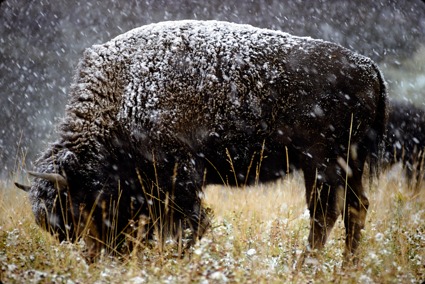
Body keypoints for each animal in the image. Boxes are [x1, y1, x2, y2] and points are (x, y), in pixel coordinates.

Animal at [14, 20, 388, 262]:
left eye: (80, 206)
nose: (98, 256)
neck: (122, 92)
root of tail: (370, 68)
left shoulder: (178, 177)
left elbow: (187, 223)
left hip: (321, 162)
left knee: (324, 213)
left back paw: (306, 264)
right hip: (348, 163)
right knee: (354, 208)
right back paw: (347, 264)